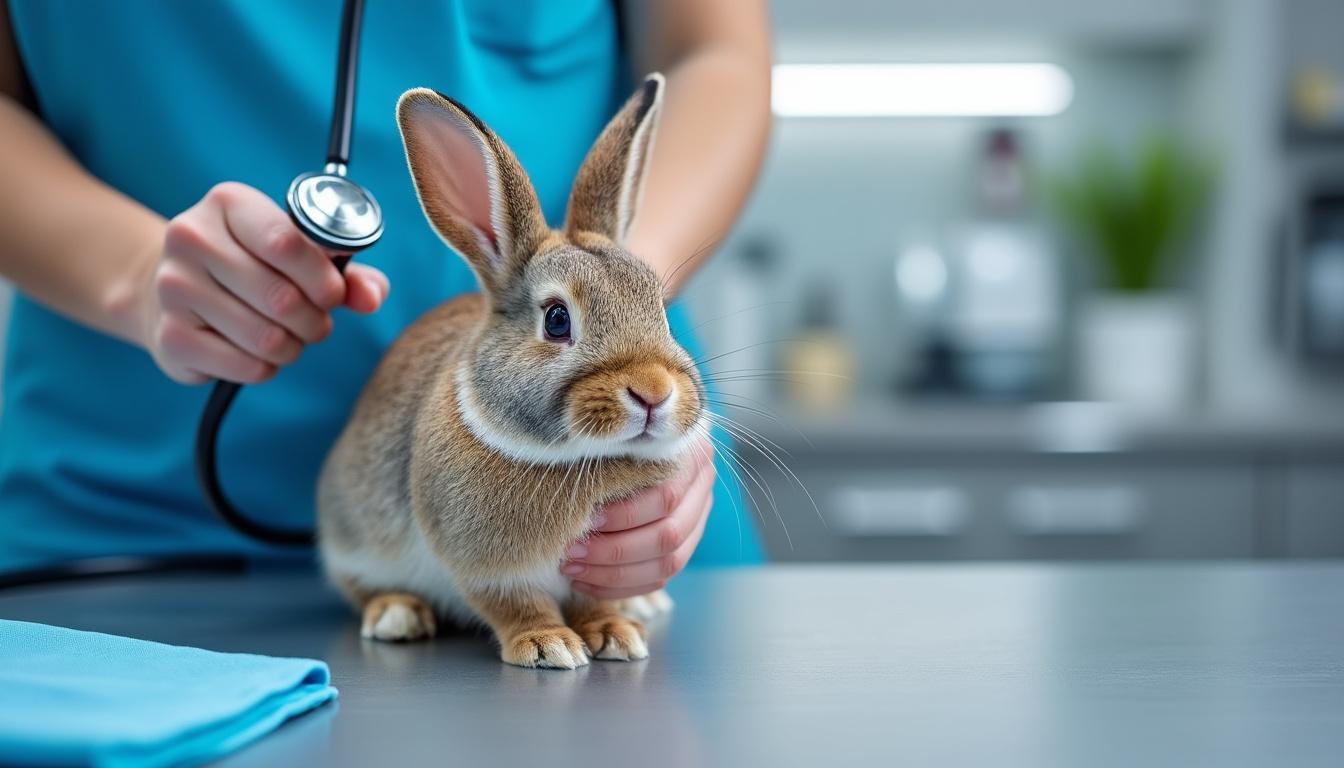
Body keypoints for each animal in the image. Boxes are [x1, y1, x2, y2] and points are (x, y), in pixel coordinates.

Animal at [316, 73, 706, 669]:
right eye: (556, 319)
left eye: (659, 308)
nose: (653, 392)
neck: (576, 457)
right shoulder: (487, 568)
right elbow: (515, 605)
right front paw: (548, 645)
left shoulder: (600, 572)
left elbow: (595, 601)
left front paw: (615, 633)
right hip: (355, 530)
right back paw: (397, 615)